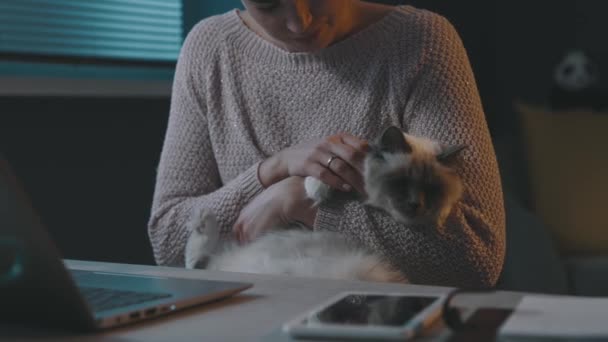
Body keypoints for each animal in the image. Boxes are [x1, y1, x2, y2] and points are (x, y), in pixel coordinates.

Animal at [183, 125, 464, 284]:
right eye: (401, 182)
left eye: (431, 189)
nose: (416, 204)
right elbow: (317, 178)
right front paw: (316, 189)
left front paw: (439, 215)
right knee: (198, 262)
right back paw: (203, 221)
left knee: (201, 263)